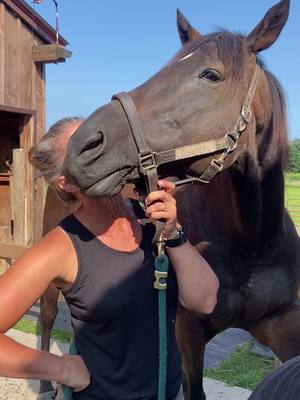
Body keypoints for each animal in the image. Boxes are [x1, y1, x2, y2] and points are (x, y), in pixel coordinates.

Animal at [39, 0, 300, 400]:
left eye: (211, 75)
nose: (84, 145)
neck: (252, 244)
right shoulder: (188, 334)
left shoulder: (285, 331)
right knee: (48, 315)